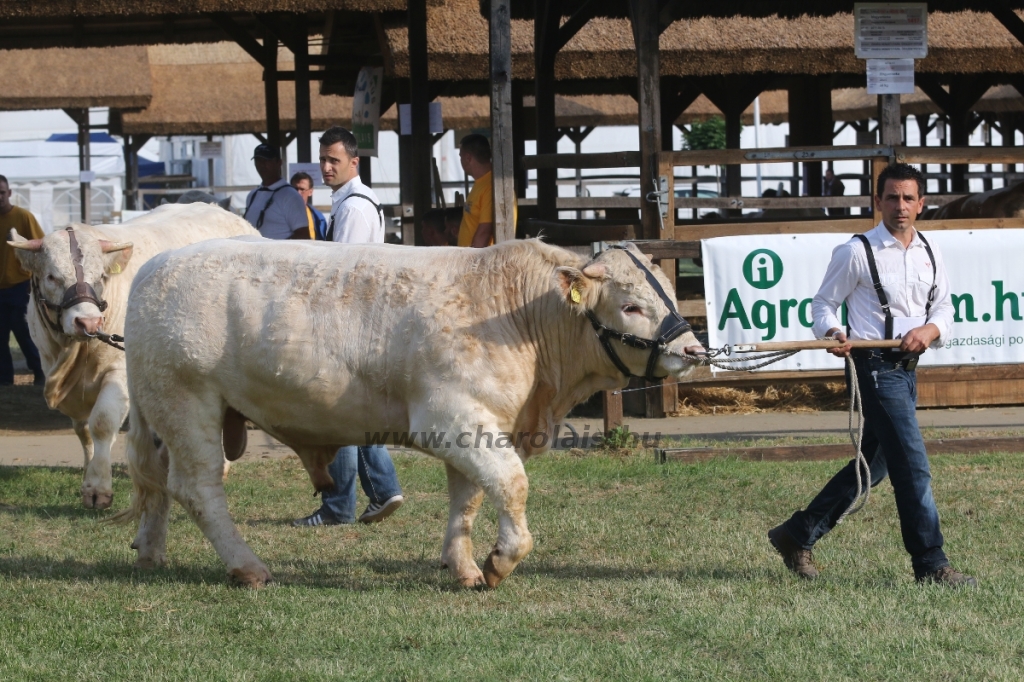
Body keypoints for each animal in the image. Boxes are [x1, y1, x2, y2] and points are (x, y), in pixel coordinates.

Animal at [9, 204, 256, 507]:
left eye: (101, 277)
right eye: (52, 277)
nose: (88, 322)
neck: (72, 356)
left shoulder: (119, 371)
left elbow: (102, 423)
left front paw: (97, 487)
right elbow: (83, 430)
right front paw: (89, 470)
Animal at [116, 237, 700, 585]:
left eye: (671, 294)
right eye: (631, 305)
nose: (693, 351)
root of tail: (154, 267)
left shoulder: (478, 426)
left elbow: (468, 497)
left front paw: (463, 566)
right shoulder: (450, 418)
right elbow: (511, 484)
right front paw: (502, 559)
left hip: (164, 415)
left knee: (158, 483)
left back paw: (150, 552)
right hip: (188, 403)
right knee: (198, 488)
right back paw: (248, 566)